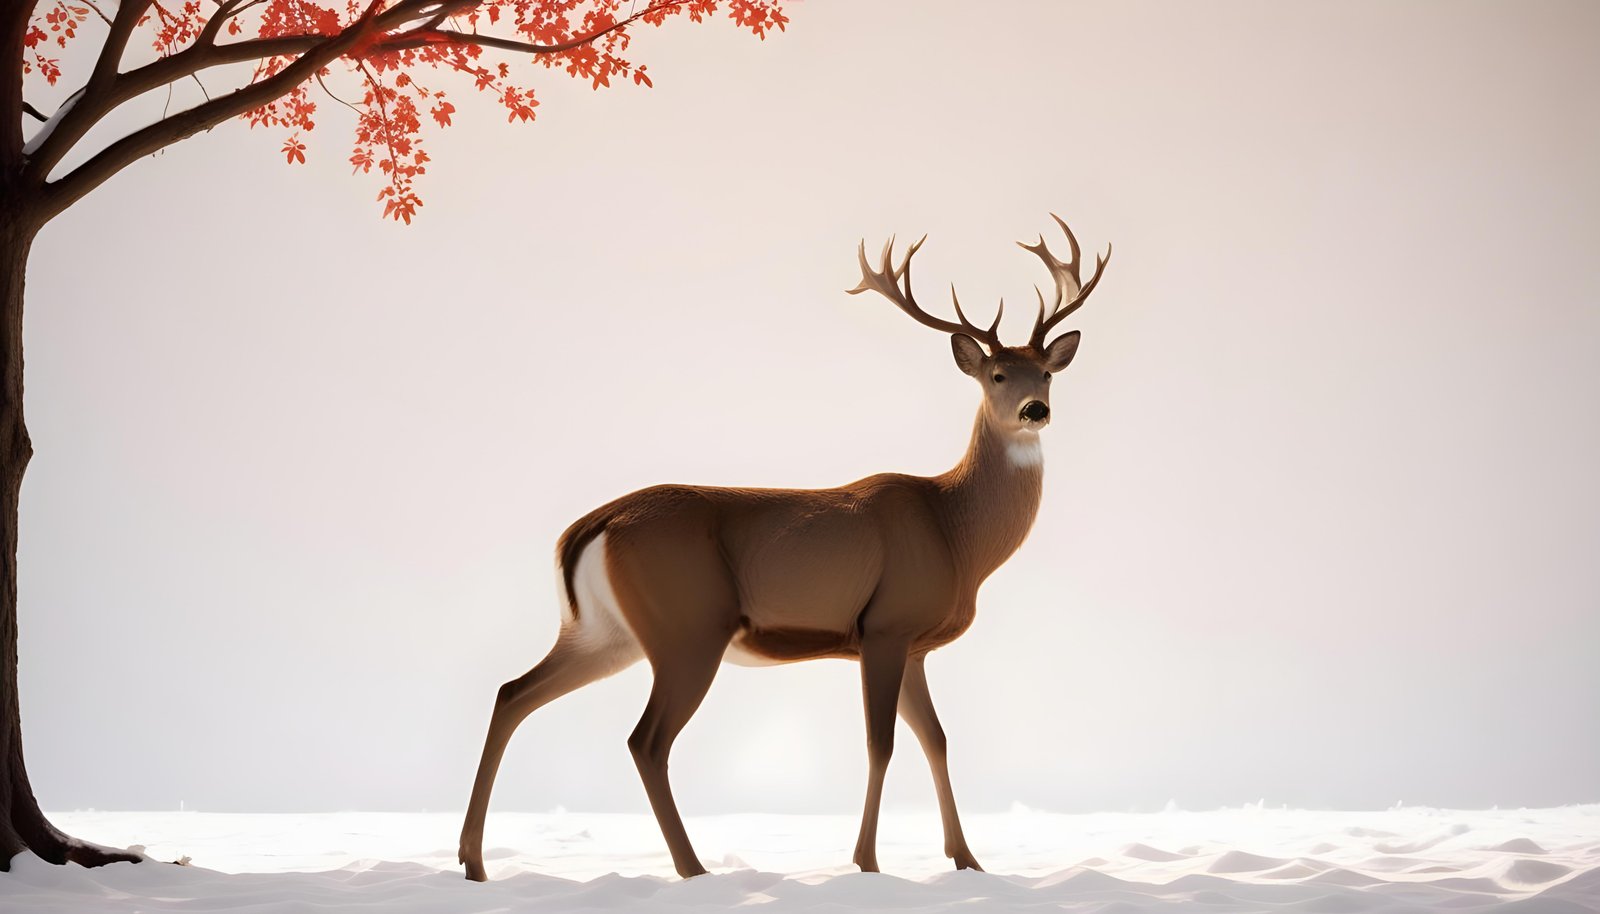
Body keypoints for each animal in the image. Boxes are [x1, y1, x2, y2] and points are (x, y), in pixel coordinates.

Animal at [458, 215, 1112, 882]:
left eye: (1047, 372)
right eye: (996, 375)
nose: (1036, 409)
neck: (955, 531)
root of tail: (591, 525)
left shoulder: (916, 646)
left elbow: (937, 740)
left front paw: (967, 859)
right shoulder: (885, 625)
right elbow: (881, 743)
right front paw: (867, 861)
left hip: (605, 632)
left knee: (512, 693)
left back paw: (473, 861)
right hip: (688, 625)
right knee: (646, 739)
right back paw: (693, 869)